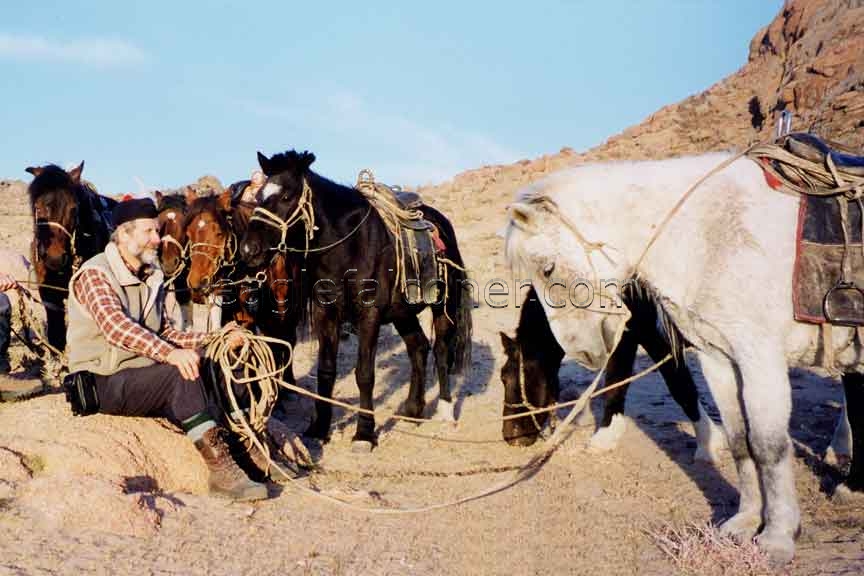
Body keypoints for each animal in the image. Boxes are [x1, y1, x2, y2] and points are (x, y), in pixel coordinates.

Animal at [241, 151, 472, 448]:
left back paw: (444, 409)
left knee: (441, 350)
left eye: (286, 196)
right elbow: (326, 370)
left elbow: (364, 374)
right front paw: (319, 427)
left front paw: (364, 433)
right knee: (418, 347)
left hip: (443, 305)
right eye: (259, 196)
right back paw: (413, 410)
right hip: (403, 313)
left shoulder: (369, 315)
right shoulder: (325, 313)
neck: (348, 248)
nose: (249, 250)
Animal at [500, 284, 724, 464]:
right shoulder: (624, 333)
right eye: (503, 377)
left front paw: (708, 444)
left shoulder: (649, 332)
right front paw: (608, 435)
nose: (512, 437)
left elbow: (679, 385)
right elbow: (617, 380)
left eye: (529, 375)